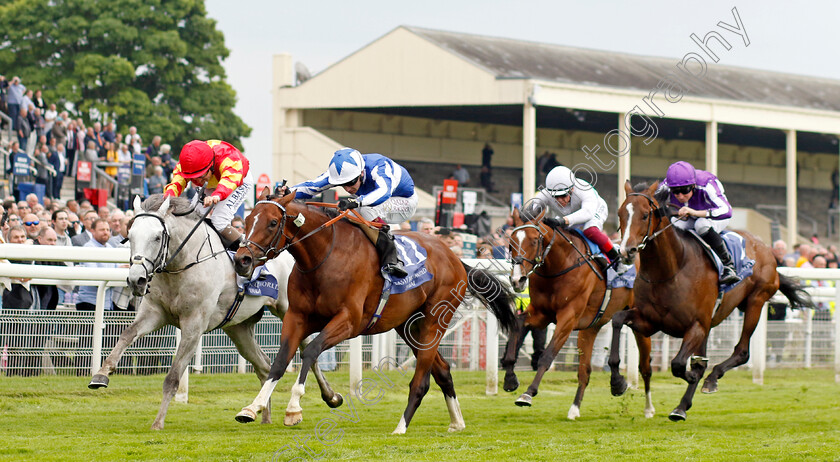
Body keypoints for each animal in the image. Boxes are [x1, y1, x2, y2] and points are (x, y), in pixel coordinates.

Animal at [88, 194, 342, 430]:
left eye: (157, 237)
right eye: (130, 236)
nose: (136, 280)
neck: (182, 265)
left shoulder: (194, 325)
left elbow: (173, 377)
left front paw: (158, 422)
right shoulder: (154, 313)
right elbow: (126, 334)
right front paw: (101, 375)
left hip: (291, 311)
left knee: (308, 352)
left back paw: (329, 396)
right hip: (239, 328)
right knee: (264, 364)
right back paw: (261, 415)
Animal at [231, 188, 520, 434]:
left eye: (272, 223)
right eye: (248, 219)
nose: (242, 259)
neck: (323, 257)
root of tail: (456, 259)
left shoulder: (349, 321)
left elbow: (311, 351)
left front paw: (293, 408)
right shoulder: (297, 318)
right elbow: (280, 361)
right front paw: (252, 407)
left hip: (435, 320)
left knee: (422, 380)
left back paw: (401, 426)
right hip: (408, 326)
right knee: (443, 370)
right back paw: (457, 421)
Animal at [502, 206, 652, 418]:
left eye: (534, 240)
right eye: (511, 242)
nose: (517, 280)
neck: (559, 266)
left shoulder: (568, 318)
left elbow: (546, 356)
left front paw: (528, 393)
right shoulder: (540, 314)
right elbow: (516, 323)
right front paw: (510, 378)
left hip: (639, 318)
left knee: (645, 364)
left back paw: (647, 407)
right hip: (592, 326)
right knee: (585, 370)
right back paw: (578, 406)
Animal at [612, 182, 812, 420]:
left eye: (644, 215)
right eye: (620, 214)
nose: (626, 251)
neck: (671, 269)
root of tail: (766, 249)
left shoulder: (696, 325)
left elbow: (679, 364)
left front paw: (691, 376)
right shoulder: (649, 322)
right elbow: (617, 318)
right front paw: (617, 382)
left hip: (756, 301)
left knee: (741, 352)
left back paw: (710, 380)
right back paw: (681, 406)